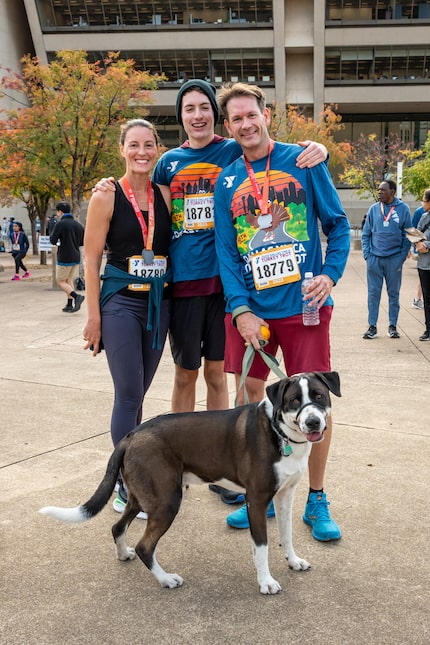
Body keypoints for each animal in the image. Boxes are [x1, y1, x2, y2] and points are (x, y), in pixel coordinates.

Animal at [41, 370, 342, 596]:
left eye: (318, 396)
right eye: (294, 401)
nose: (313, 422)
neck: (279, 432)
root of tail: (130, 436)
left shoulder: (285, 496)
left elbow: (286, 535)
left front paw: (293, 561)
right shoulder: (256, 500)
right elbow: (262, 546)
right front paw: (266, 582)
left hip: (142, 497)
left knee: (118, 527)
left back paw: (123, 554)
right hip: (167, 501)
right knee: (145, 546)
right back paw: (166, 579)